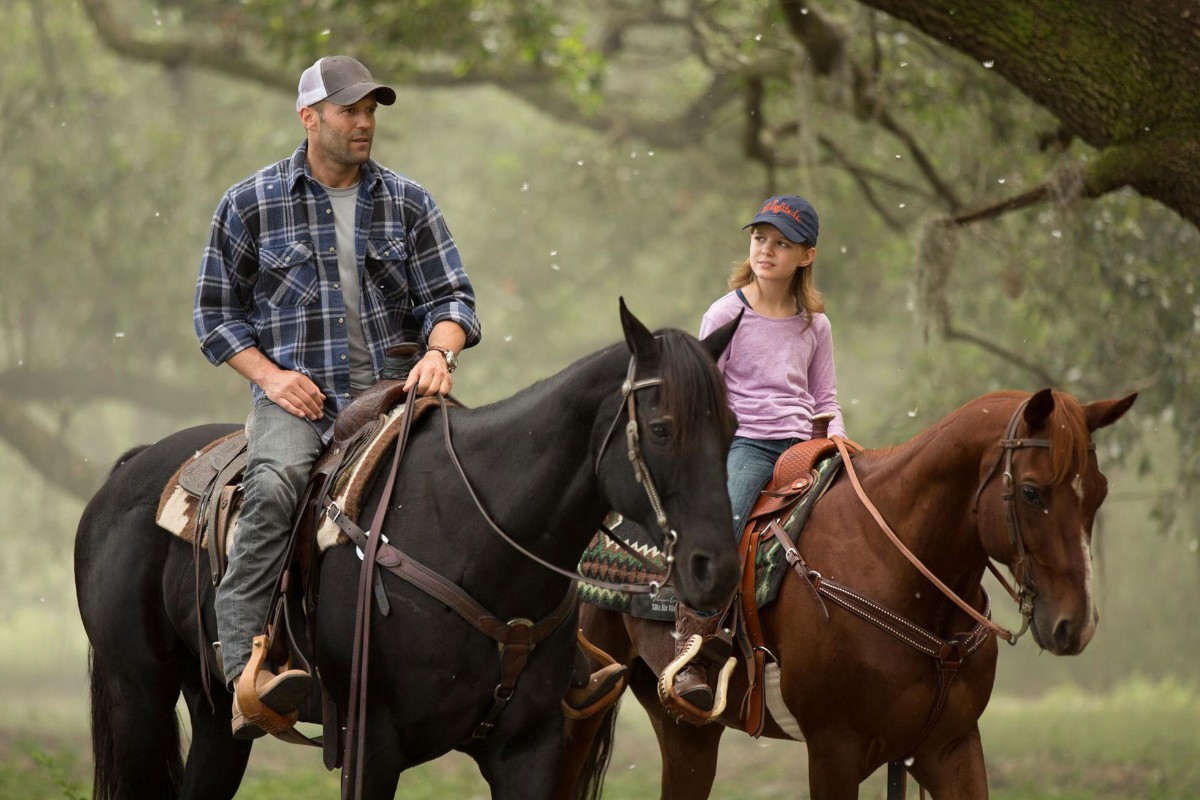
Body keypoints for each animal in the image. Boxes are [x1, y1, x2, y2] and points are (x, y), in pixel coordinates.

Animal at [75, 302, 739, 800]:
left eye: (732, 427)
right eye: (662, 429)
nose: (717, 567)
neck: (472, 541)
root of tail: (129, 468)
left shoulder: (529, 748)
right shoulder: (370, 745)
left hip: (215, 719)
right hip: (139, 698)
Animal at [556, 388, 1137, 800]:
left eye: (1100, 491)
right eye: (1033, 492)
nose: (1075, 624)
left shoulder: (949, 746)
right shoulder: (835, 749)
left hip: (687, 729)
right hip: (585, 699)